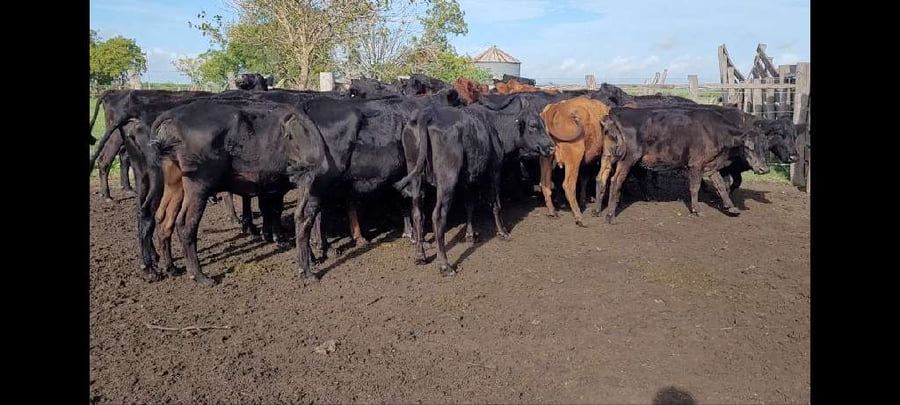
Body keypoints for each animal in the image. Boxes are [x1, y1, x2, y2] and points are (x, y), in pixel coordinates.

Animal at [394, 97, 555, 275]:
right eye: (533, 125)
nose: (551, 147)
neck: (496, 127)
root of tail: (426, 113)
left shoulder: (469, 179)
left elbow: (469, 205)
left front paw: (470, 234)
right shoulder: (494, 170)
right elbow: (496, 204)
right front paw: (503, 231)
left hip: (415, 175)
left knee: (417, 213)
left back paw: (420, 255)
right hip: (447, 180)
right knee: (438, 216)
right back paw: (445, 265)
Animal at [597, 107, 771, 224]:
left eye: (766, 147)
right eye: (749, 147)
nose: (764, 169)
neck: (715, 132)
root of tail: (617, 112)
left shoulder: (710, 165)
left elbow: (721, 186)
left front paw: (731, 207)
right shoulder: (696, 165)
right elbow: (694, 188)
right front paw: (697, 210)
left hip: (608, 156)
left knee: (601, 179)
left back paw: (597, 210)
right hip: (627, 159)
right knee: (616, 181)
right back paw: (611, 216)